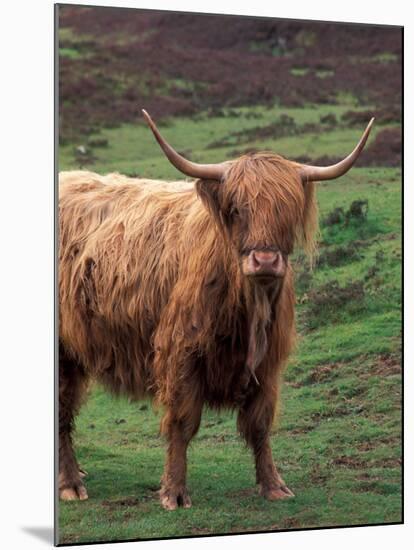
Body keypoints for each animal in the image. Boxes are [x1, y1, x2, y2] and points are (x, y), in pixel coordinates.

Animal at [59, 110, 376, 512]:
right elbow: (182, 423)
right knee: (62, 411)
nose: (265, 260)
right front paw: (175, 492)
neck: (248, 306)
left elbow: (260, 424)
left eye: (287, 211)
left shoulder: (268, 363)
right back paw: (70, 483)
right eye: (237, 210)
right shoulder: (181, 353)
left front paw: (274, 485)